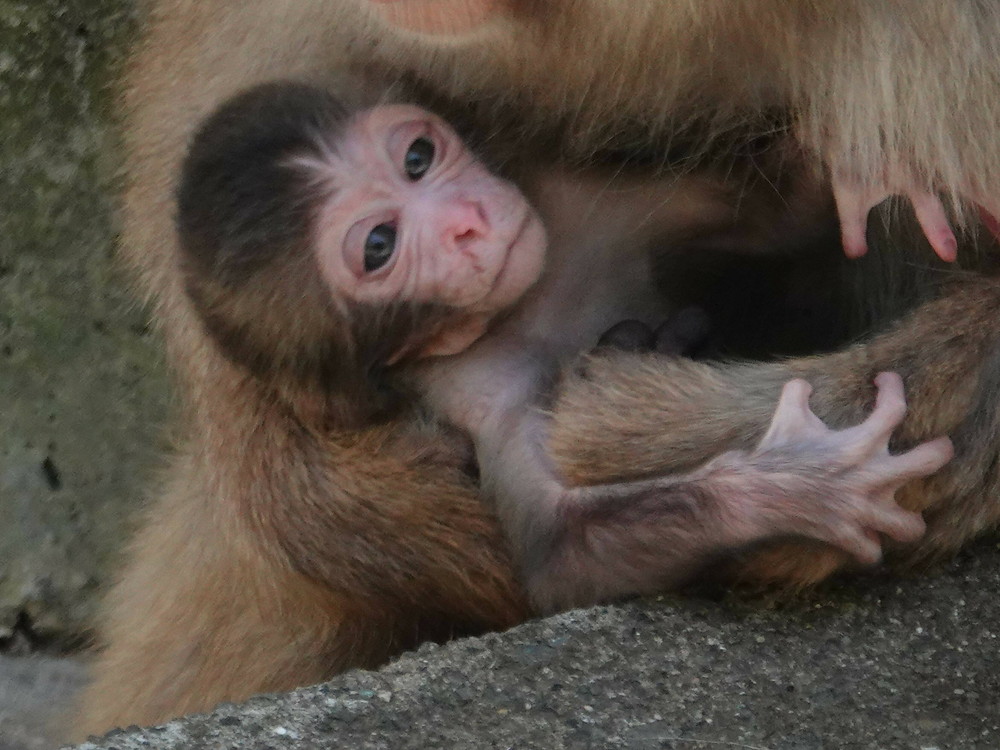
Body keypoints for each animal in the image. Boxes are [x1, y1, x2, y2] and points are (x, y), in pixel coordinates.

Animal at [180, 83, 952, 612]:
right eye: (378, 245)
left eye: (417, 157)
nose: (466, 219)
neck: (526, 305)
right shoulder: (476, 389)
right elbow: (563, 556)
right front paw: (801, 486)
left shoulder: (585, 201)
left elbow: (777, 216)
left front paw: (861, 168)